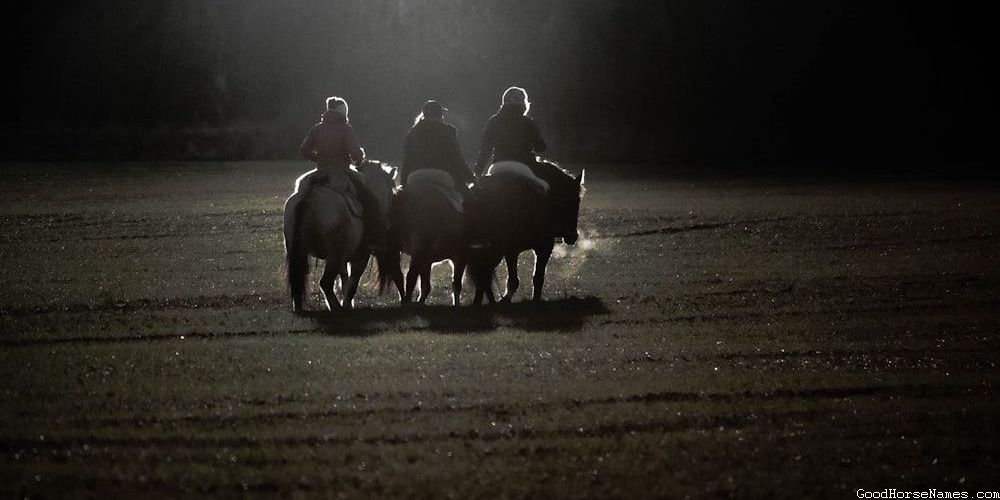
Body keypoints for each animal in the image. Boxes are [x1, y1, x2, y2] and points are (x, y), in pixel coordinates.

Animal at [283, 161, 397, 312]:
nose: (389, 222)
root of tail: (309, 195)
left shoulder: (343, 257)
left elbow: (344, 279)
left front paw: (347, 302)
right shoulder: (361, 256)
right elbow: (353, 282)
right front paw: (347, 304)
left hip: (297, 251)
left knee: (298, 277)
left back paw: (299, 308)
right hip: (333, 256)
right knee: (325, 283)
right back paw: (336, 307)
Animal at [468, 159, 584, 305]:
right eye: (576, 200)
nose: (572, 236)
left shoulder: (511, 250)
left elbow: (514, 280)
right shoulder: (544, 247)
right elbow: (537, 278)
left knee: (483, 278)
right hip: (494, 250)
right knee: (484, 276)